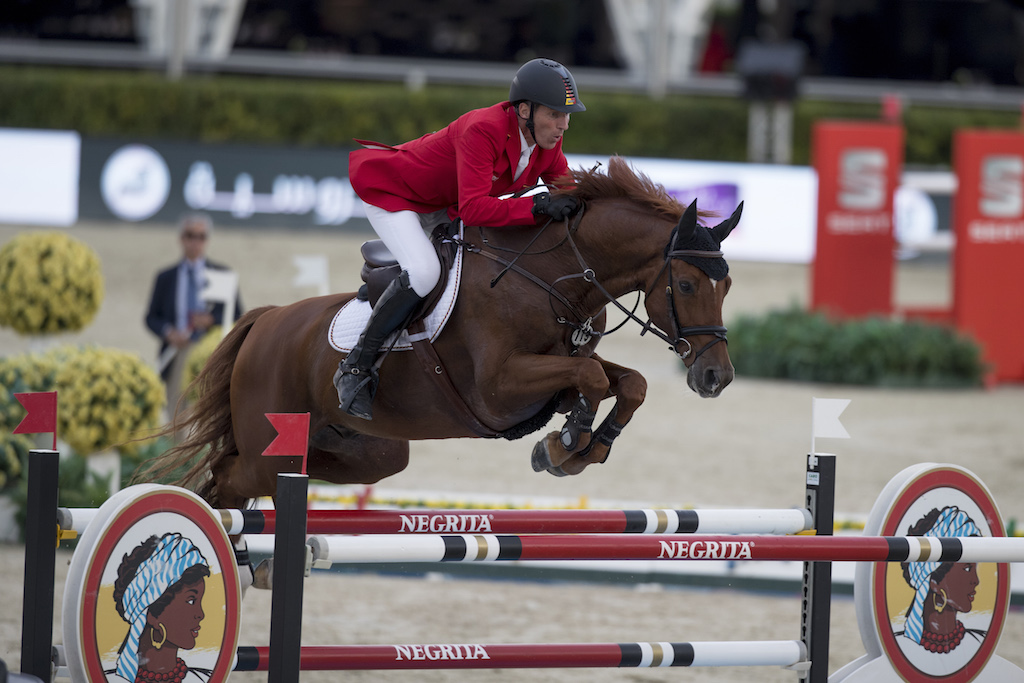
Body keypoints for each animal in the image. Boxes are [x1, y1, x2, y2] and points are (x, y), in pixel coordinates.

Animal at [151, 157, 741, 511]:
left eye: (728, 284)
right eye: (686, 284)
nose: (716, 377)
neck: (553, 276)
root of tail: (267, 320)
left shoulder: (553, 371)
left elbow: (626, 381)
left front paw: (579, 447)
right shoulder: (499, 389)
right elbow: (592, 378)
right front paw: (568, 441)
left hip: (373, 451)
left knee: (289, 473)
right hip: (264, 445)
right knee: (226, 479)